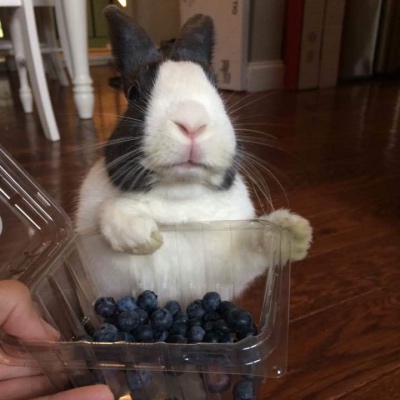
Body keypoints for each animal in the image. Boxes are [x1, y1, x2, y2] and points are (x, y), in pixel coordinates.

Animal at [75, 5, 312, 304]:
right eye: (133, 92)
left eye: (218, 89)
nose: (192, 123)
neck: (180, 199)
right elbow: (108, 212)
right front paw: (141, 233)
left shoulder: (232, 259)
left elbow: (254, 246)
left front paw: (294, 232)